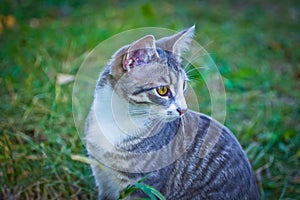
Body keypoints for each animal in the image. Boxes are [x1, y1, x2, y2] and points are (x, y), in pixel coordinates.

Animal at [85, 25, 260, 199]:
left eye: (183, 85)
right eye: (162, 90)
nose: (183, 109)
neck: (117, 120)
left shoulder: (143, 186)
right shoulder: (101, 175)